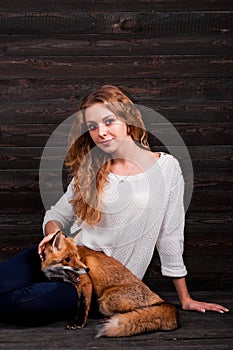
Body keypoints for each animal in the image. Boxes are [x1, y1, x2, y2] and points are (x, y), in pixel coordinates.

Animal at [41, 231, 177, 338]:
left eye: (78, 258)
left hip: (105, 300)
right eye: (68, 259)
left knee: (138, 311)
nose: (87, 269)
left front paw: (79, 323)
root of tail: (157, 297)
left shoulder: (85, 283)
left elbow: (83, 306)